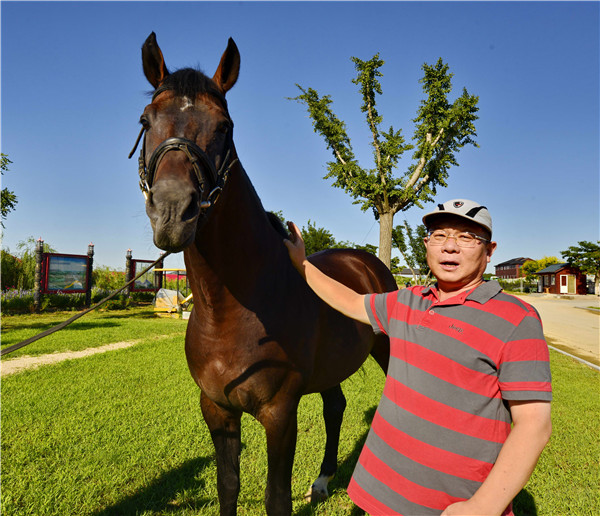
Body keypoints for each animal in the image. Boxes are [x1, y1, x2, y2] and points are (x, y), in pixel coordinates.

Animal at [132, 33, 398, 516]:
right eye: (146, 120)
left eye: (225, 126)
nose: (173, 212)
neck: (231, 312)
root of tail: (366, 261)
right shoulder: (217, 410)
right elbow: (228, 486)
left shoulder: (279, 414)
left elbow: (277, 499)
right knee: (335, 406)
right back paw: (323, 480)